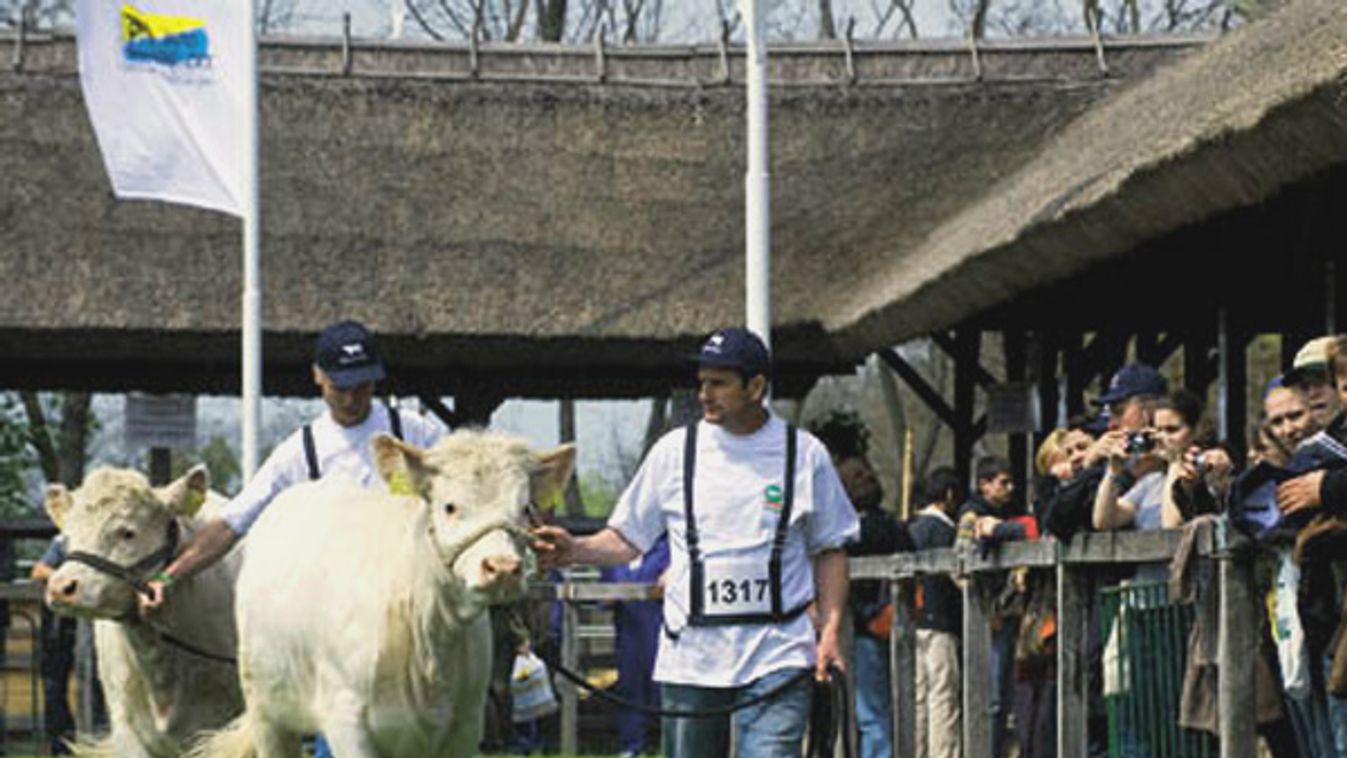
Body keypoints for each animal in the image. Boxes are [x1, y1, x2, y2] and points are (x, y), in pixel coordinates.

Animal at [185, 433, 573, 758]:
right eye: (449, 506)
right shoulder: (347, 723)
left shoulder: (465, 725)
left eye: (525, 509)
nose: (503, 568)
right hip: (267, 712)